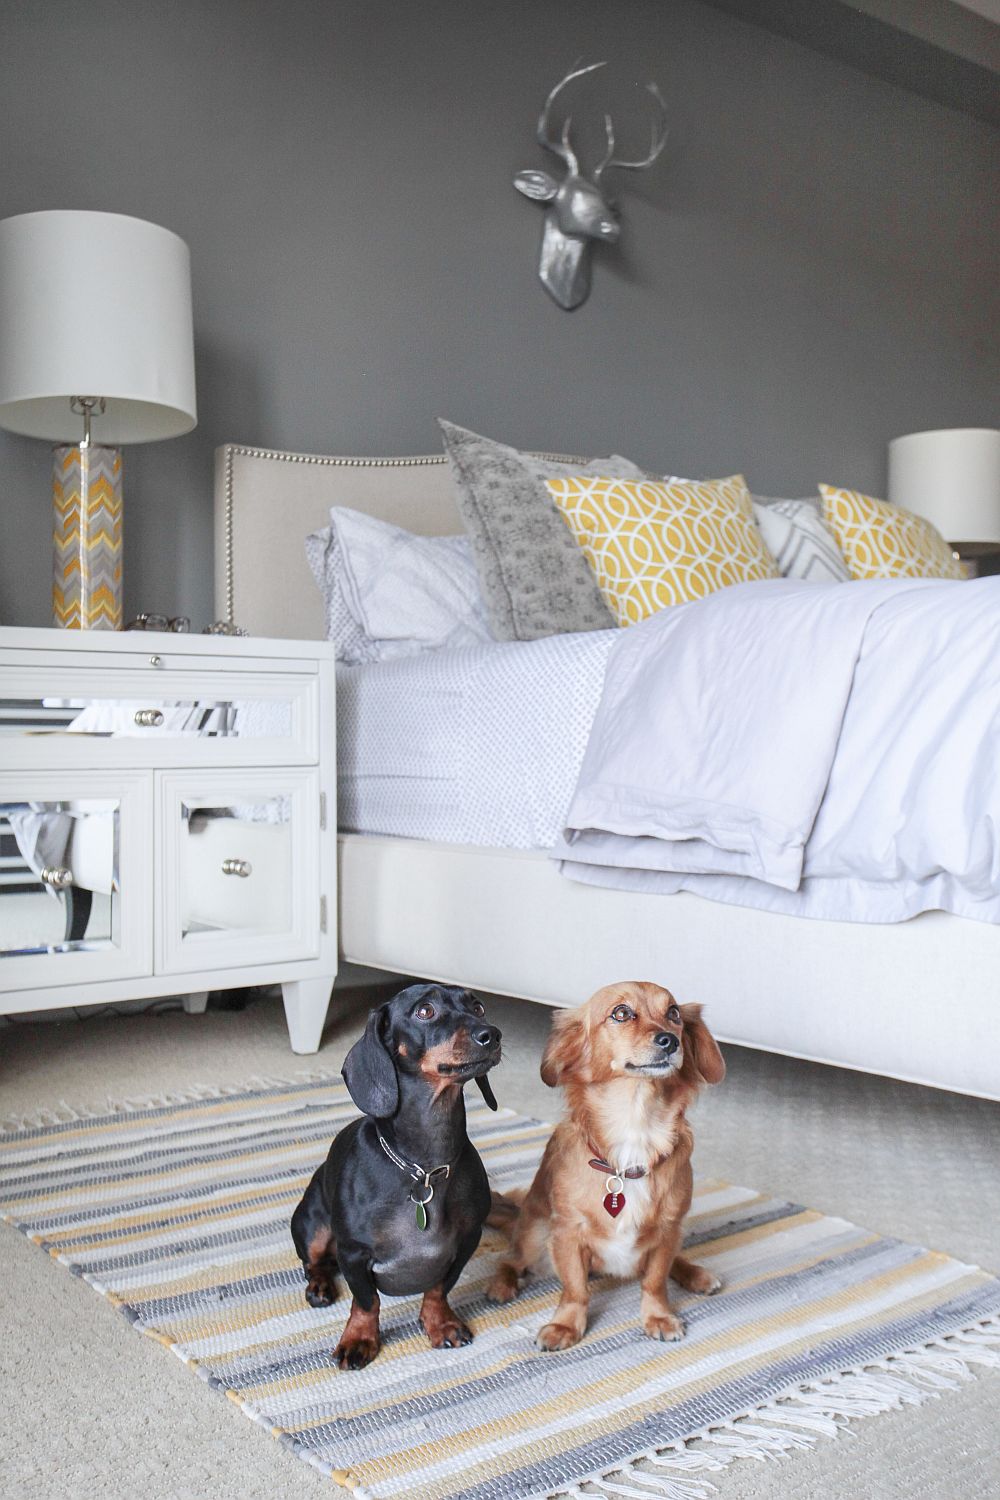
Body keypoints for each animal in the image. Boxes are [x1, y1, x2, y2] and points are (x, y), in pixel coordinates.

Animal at [491, 978, 728, 1356]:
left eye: (674, 1014)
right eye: (621, 1013)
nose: (670, 1040)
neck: (635, 1124)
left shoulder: (668, 1230)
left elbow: (655, 1280)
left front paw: (659, 1316)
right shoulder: (567, 1232)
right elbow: (575, 1289)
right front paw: (565, 1325)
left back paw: (695, 1274)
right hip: (535, 1234)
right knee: (511, 1259)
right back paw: (502, 1284)